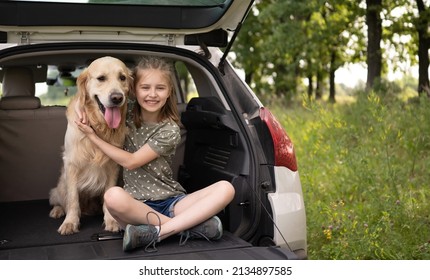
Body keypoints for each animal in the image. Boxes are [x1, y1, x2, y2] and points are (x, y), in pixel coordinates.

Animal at [49, 55, 133, 235]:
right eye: (101, 78)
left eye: (122, 78)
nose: (117, 98)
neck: (100, 126)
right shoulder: (72, 163)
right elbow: (73, 199)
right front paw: (70, 222)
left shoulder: (113, 165)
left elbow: (109, 194)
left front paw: (111, 220)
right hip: (60, 186)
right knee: (60, 200)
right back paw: (58, 210)